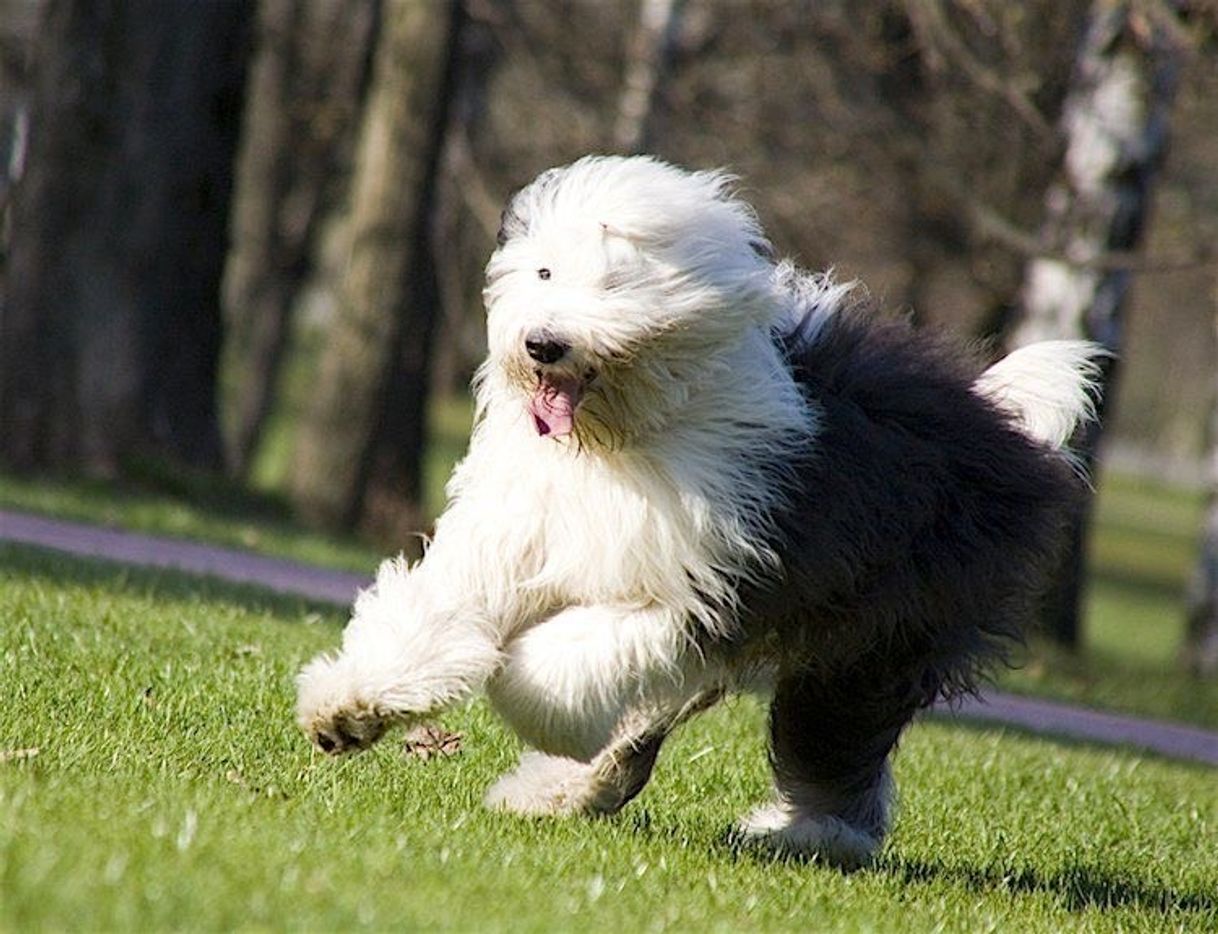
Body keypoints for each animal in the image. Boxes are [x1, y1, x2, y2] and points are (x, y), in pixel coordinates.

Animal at [297, 155, 1105, 867]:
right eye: (545, 272)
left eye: (615, 280)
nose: (543, 343)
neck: (617, 440)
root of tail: (1003, 426)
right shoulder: (514, 533)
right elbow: (438, 613)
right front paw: (350, 707)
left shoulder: (696, 590)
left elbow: (556, 665)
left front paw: (523, 694)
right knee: (655, 725)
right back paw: (561, 792)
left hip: (878, 635)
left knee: (835, 739)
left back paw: (808, 837)